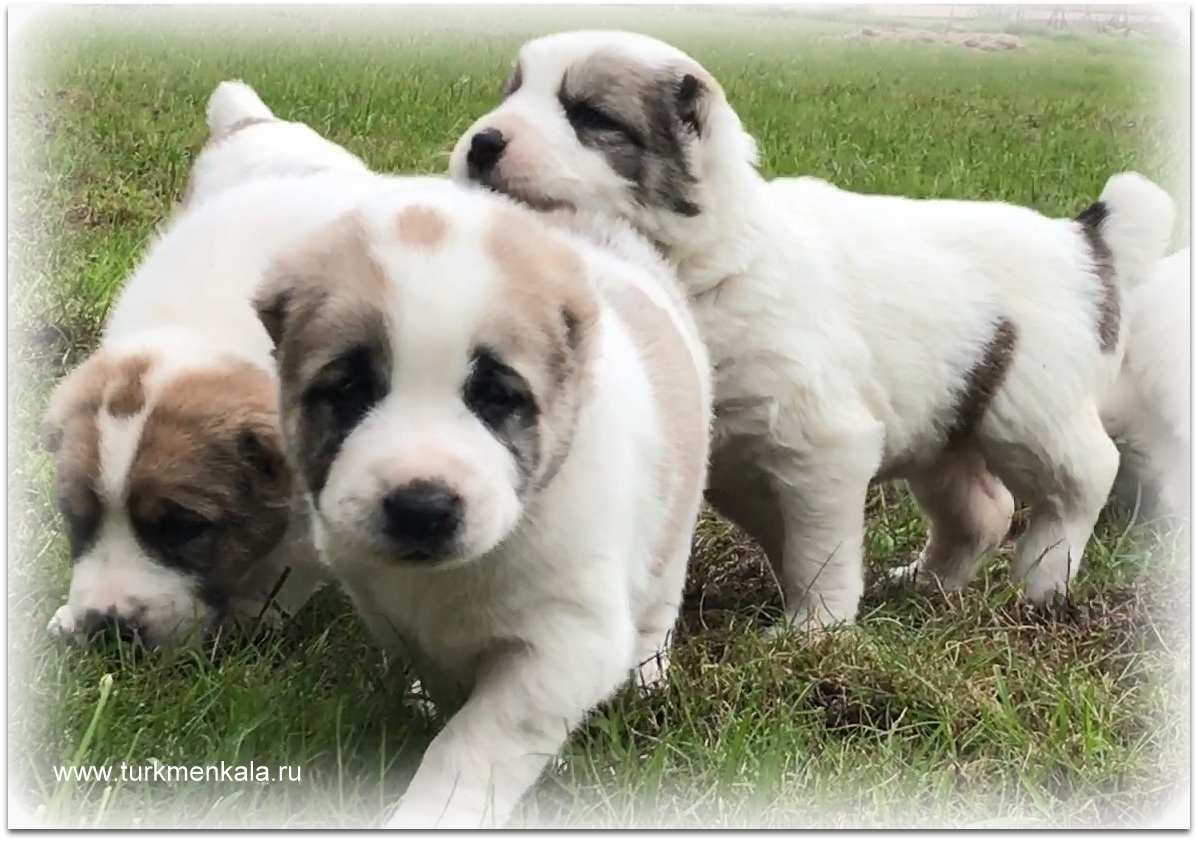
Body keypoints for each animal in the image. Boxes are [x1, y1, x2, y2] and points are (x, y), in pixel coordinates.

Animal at [43, 82, 368, 646]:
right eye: (75, 519)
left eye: (183, 528)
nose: (108, 629)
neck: (201, 327)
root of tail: (255, 120)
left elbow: (292, 562)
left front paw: (251, 620)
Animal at [253, 172, 709, 829]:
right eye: (350, 389)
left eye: (494, 396)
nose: (421, 507)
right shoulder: (390, 611)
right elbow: (443, 685)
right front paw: (430, 705)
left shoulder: (567, 640)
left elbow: (476, 740)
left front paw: (433, 814)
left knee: (658, 606)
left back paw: (646, 677)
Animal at [452, 29, 1174, 627]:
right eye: (512, 92)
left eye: (590, 117)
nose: (482, 142)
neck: (711, 258)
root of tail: (1083, 237)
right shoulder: (740, 463)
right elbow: (792, 539)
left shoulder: (824, 444)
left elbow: (819, 547)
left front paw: (813, 630)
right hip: (944, 423)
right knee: (980, 510)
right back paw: (923, 584)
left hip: (1030, 408)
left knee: (1084, 475)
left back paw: (1044, 578)